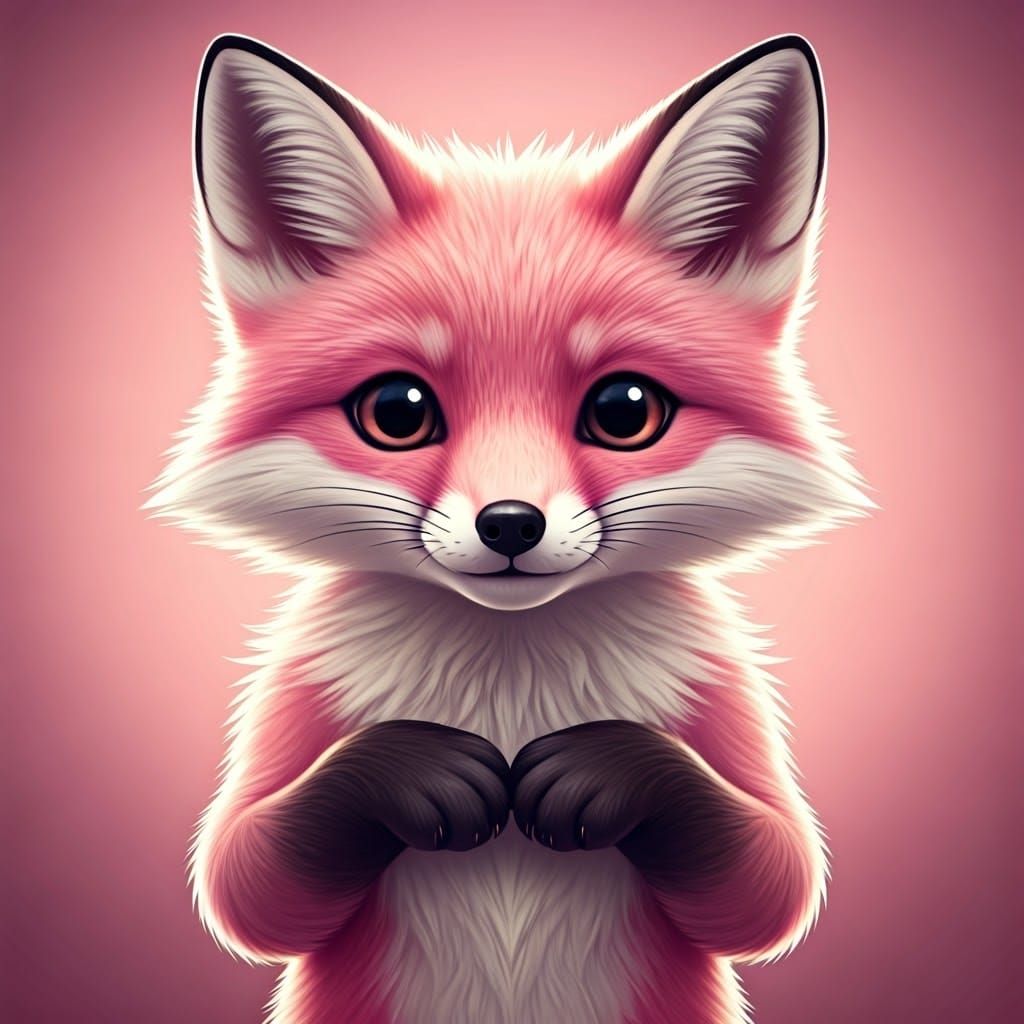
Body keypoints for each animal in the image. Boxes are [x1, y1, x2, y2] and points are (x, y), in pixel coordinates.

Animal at [148, 31, 870, 1024]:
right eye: (397, 411)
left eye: (625, 409)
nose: (511, 524)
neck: (510, 674)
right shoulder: (294, 704)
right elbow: (245, 880)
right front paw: (411, 769)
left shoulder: (725, 705)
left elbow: (773, 879)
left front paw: (608, 768)